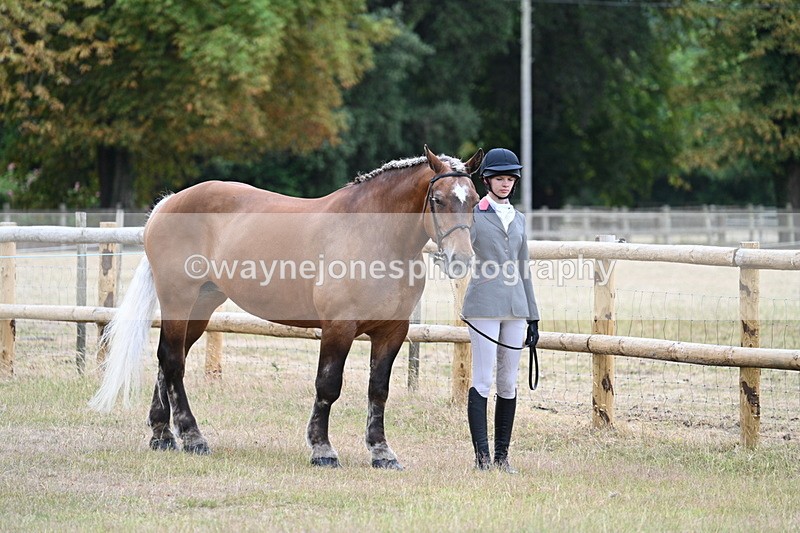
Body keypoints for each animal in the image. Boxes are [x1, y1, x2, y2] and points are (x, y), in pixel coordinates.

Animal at [90, 146, 483, 469]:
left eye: (475, 199)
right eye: (438, 199)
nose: (461, 259)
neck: (373, 236)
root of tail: (168, 203)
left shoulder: (392, 331)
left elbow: (378, 391)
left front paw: (382, 452)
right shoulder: (338, 327)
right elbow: (328, 386)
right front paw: (323, 450)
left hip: (201, 308)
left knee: (168, 361)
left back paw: (162, 435)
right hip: (178, 299)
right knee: (172, 362)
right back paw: (192, 437)